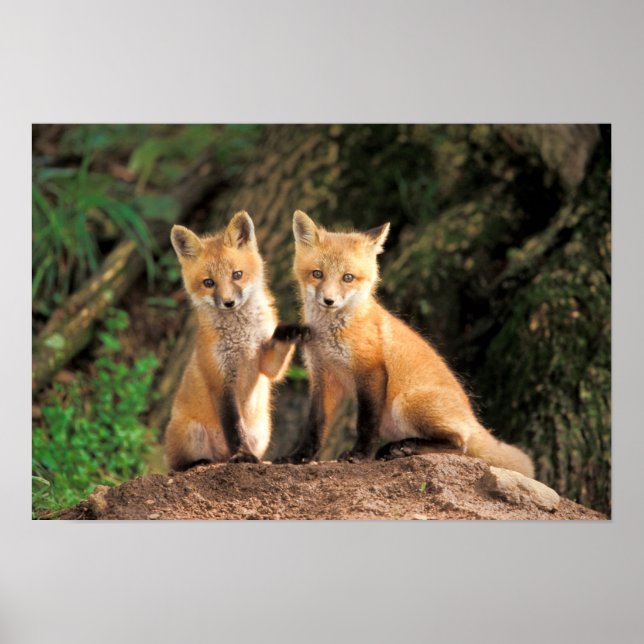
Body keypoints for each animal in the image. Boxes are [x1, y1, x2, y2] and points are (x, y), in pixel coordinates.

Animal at [164, 211, 307, 471]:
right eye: (209, 283)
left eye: (237, 275)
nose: (229, 302)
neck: (242, 338)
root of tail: (220, 457)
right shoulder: (221, 381)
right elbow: (234, 428)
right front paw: (242, 454)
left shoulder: (265, 364)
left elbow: (275, 360)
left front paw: (289, 331)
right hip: (191, 433)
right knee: (177, 465)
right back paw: (200, 463)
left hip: (262, 432)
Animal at [276, 210, 534, 478]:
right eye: (317, 274)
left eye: (348, 277)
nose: (329, 301)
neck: (330, 333)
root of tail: (472, 417)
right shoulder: (323, 375)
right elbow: (315, 425)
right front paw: (299, 457)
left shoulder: (371, 370)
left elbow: (366, 422)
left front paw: (360, 455)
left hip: (405, 402)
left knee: (460, 444)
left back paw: (406, 448)